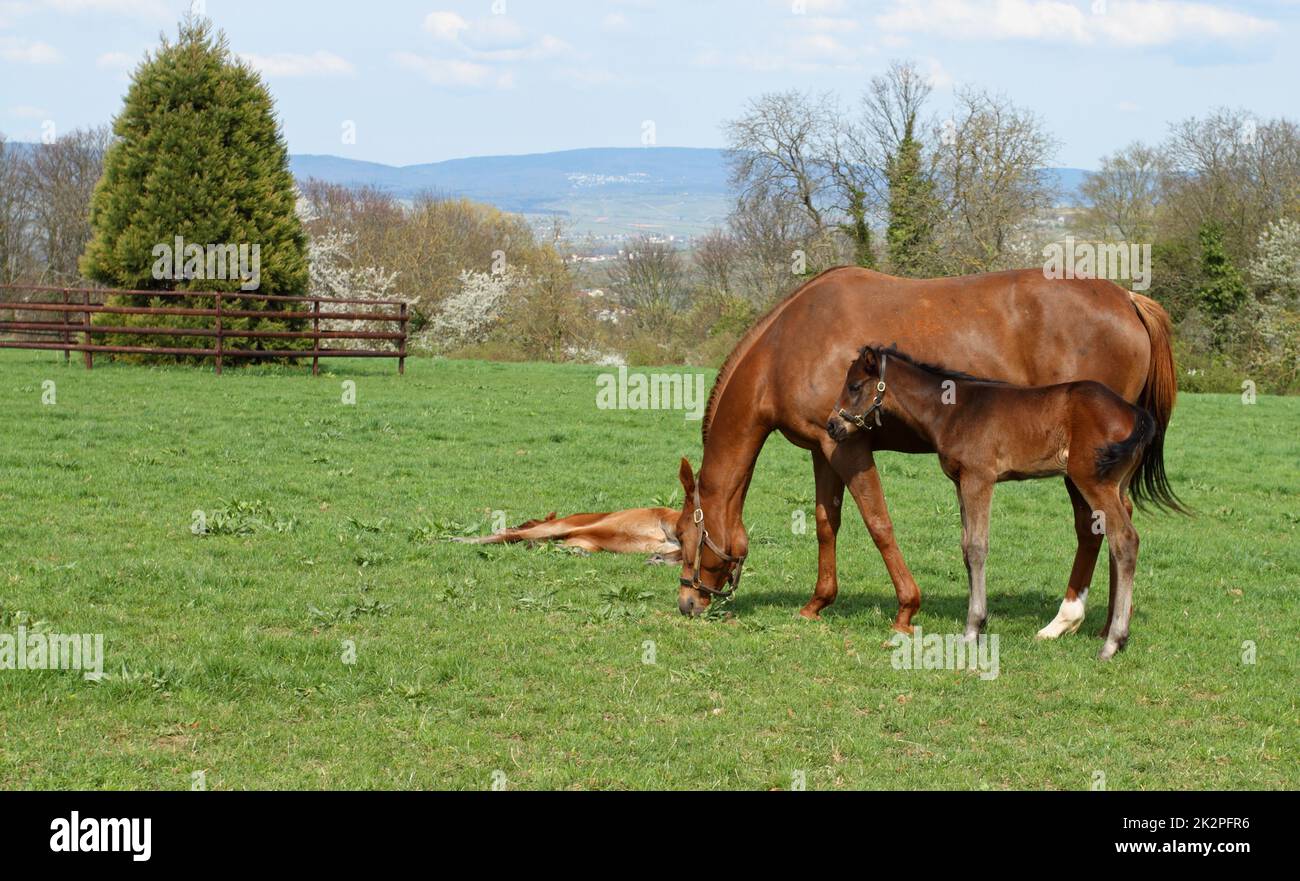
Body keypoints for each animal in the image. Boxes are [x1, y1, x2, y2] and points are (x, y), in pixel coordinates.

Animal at [829, 345, 1168, 660]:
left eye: (855, 386)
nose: (832, 425)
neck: (953, 411)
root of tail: (1134, 413)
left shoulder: (979, 479)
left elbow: (977, 548)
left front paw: (972, 628)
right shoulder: (961, 482)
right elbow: (965, 548)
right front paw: (977, 623)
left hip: (1092, 480)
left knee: (1124, 538)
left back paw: (1112, 642)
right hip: (1117, 484)